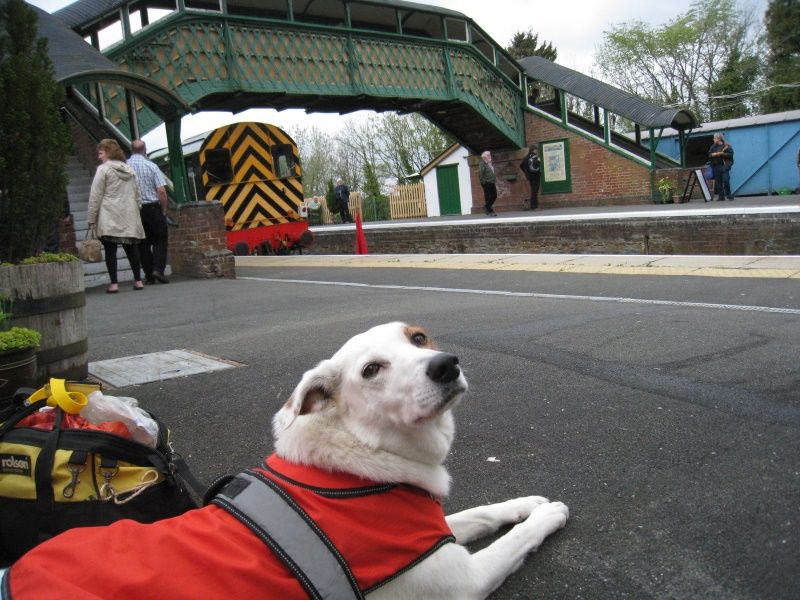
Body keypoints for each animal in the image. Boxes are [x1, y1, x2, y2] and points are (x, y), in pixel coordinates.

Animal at [6, 324, 568, 600]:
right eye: (371, 370)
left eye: (418, 338)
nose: (445, 365)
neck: (361, 456)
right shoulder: (459, 581)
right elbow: (515, 540)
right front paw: (548, 513)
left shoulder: (425, 538)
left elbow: (480, 513)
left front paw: (526, 501)